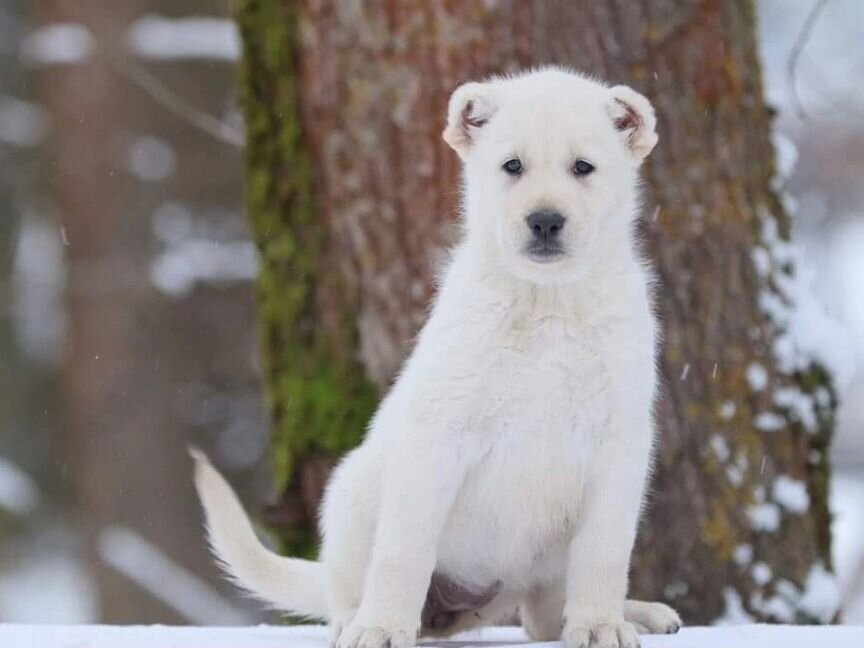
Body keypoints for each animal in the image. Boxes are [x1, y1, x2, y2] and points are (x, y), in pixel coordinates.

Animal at [194, 67, 680, 648]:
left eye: (583, 167)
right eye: (512, 166)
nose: (544, 221)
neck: (546, 304)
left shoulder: (619, 444)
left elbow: (604, 554)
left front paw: (601, 625)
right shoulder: (439, 436)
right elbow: (404, 551)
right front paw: (383, 629)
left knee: (543, 618)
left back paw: (635, 613)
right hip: (352, 493)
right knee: (349, 594)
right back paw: (360, 620)